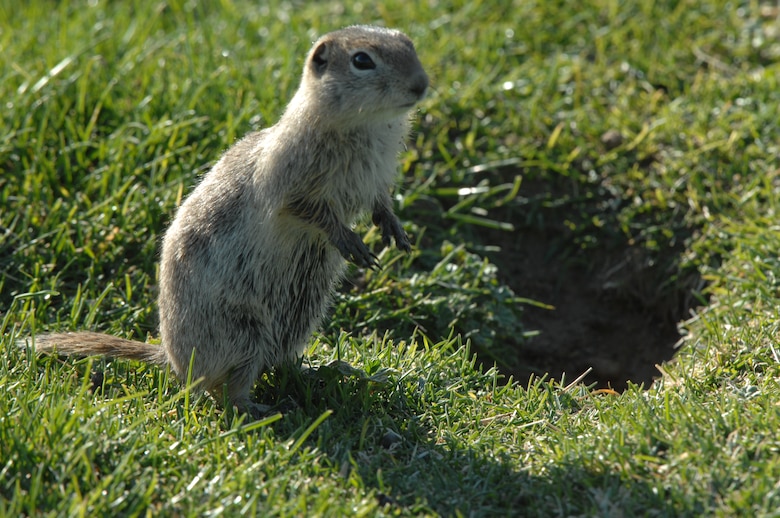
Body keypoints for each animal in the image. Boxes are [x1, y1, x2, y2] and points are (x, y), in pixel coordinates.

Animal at [25, 26, 426, 420]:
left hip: (299, 318)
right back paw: (259, 408)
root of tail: (173, 361)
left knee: (278, 363)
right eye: (362, 60)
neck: (367, 128)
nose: (421, 85)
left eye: (409, 43)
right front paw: (350, 241)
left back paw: (329, 372)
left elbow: (380, 202)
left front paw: (395, 231)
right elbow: (310, 211)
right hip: (244, 333)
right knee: (225, 389)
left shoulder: (377, 178)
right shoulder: (289, 181)